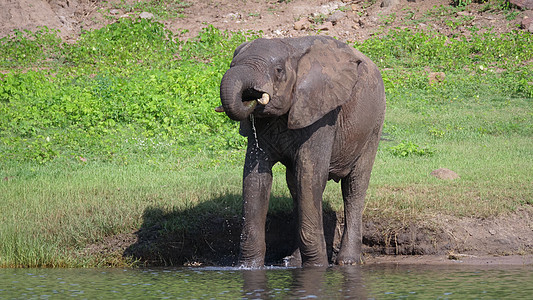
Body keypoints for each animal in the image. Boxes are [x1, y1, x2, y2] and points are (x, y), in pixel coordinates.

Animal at [214, 35, 384, 268]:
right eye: (231, 65)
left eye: (278, 71)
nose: (250, 97)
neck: (291, 48)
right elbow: (255, 179)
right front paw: (249, 267)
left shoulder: (321, 113)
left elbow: (309, 176)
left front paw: (318, 267)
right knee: (295, 187)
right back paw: (292, 262)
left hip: (373, 124)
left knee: (354, 187)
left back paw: (347, 262)